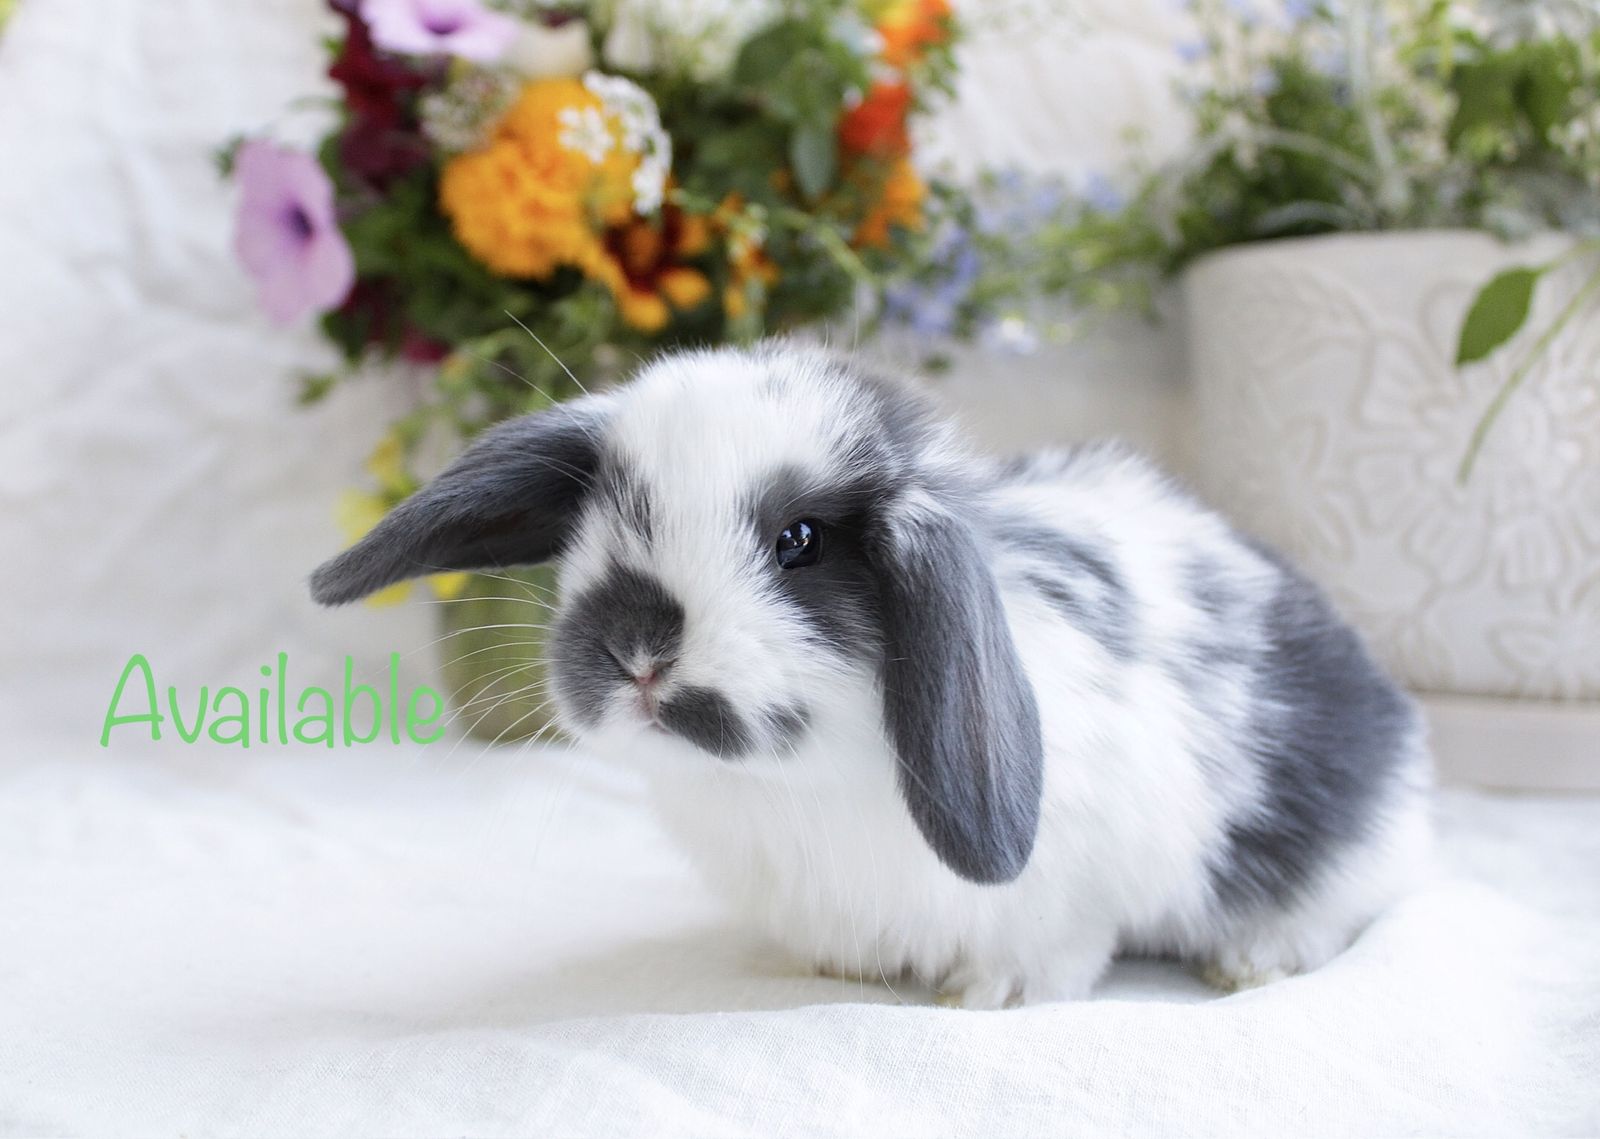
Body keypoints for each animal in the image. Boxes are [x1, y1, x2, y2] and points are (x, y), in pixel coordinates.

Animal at [311, 342, 1433, 1008]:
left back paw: (1250, 960)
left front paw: (988, 993)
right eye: (601, 514)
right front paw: (834, 965)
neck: (793, 782)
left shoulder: (1078, 878)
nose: (631, 644)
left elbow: (1052, 950)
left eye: (799, 540)